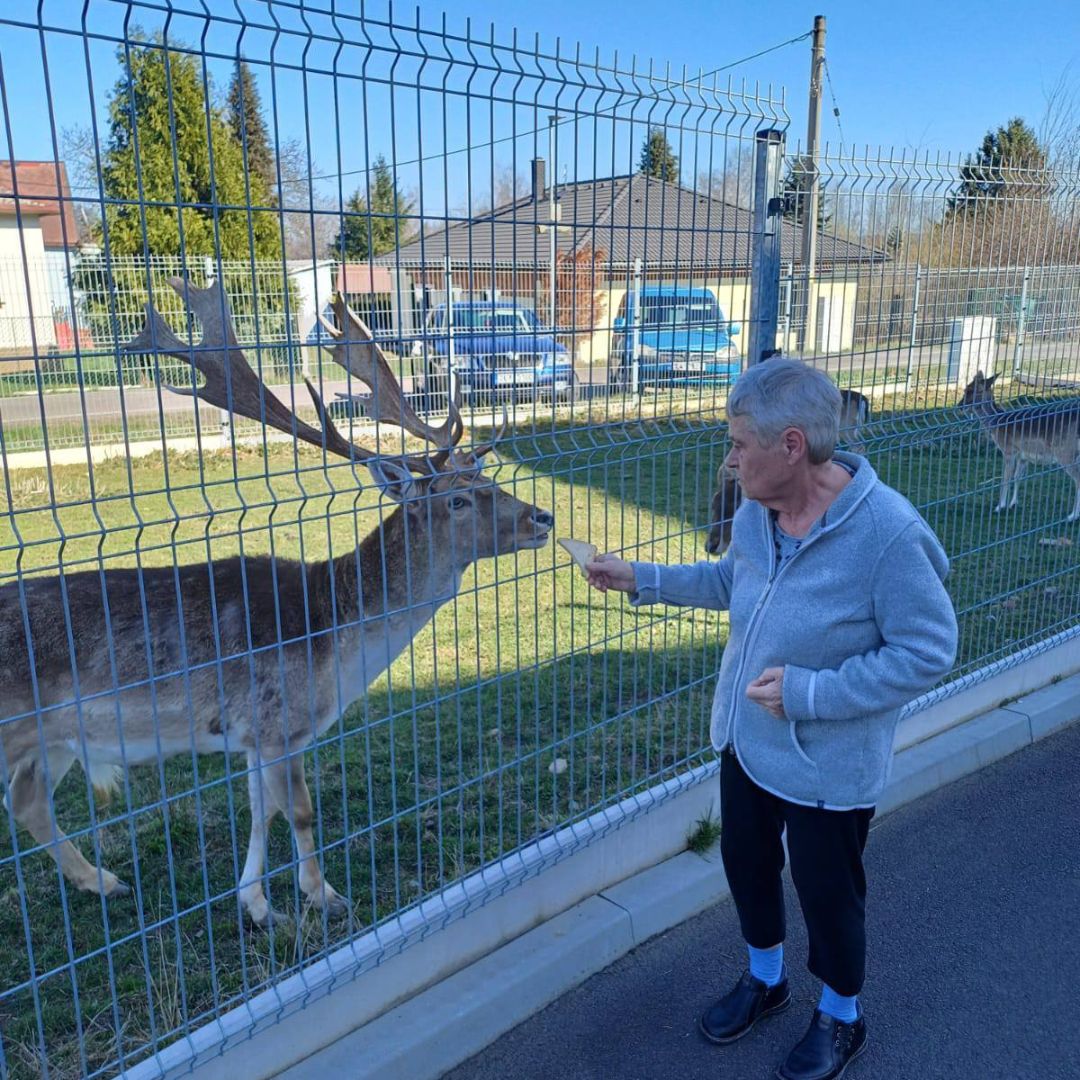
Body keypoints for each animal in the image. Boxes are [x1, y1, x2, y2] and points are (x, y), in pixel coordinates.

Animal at [0, 277, 553, 927]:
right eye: (459, 501)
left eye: (490, 482)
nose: (542, 517)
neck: (335, 647)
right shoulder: (278, 721)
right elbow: (301, 811)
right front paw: (324, 896)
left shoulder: (250, 736)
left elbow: (260, 810)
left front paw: (258, 904)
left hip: (56, 736)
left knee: (27, 800)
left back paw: (103, 881)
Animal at [962, 370, 1080, 520]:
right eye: (966, 388)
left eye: (970, 390)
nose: (960, 406)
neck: (997, 424)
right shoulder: (1023, 456)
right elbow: (1017, 477)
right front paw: (1013, 503)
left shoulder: (1008, 450)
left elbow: (1005, 478)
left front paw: (999, 507)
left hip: (1065, 453)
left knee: (1078, 479)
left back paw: (1072, 516)